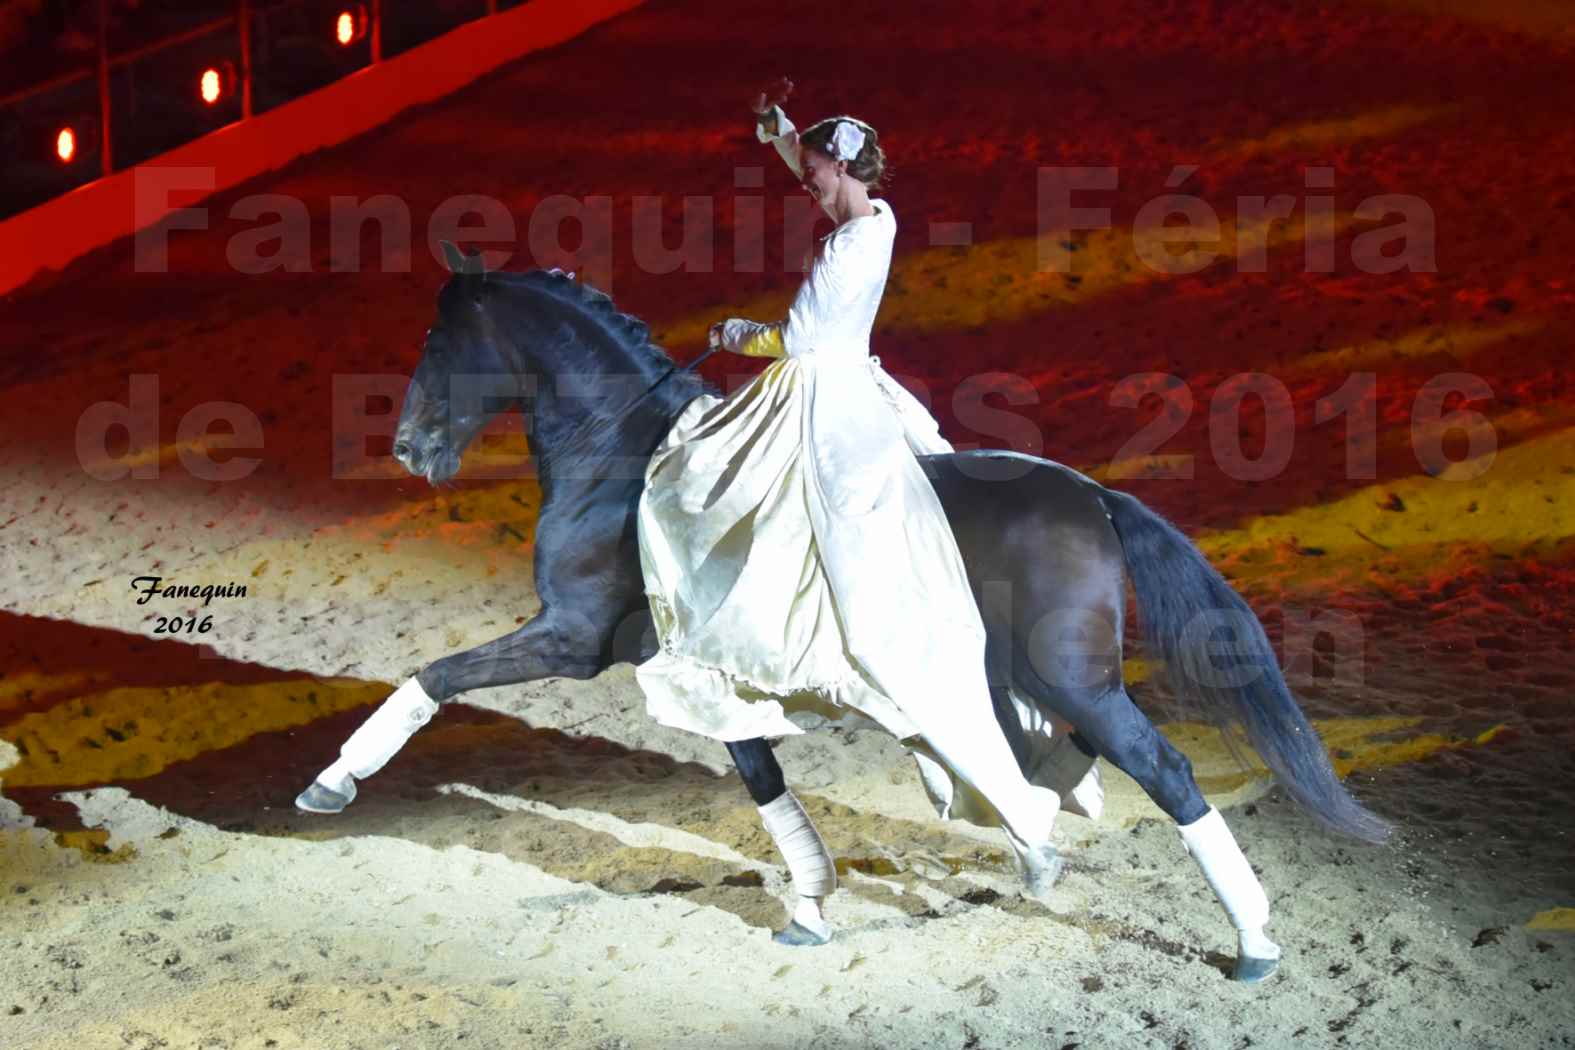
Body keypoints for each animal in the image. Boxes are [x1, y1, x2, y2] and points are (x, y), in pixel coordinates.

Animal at [296, 247, 1379, 988]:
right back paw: (1038, 847)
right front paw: (812, 906)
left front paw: (329, 784)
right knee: (1059, 765)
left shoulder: (569, 639)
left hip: (1074, 682)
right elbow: (760, 777)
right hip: (1024, 684)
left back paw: (1252, 941)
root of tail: (1092, 496)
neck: (624, 453)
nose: (408, 448)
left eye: (439, 341)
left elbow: (434, 676)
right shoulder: (706, 668)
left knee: (1167, 773)